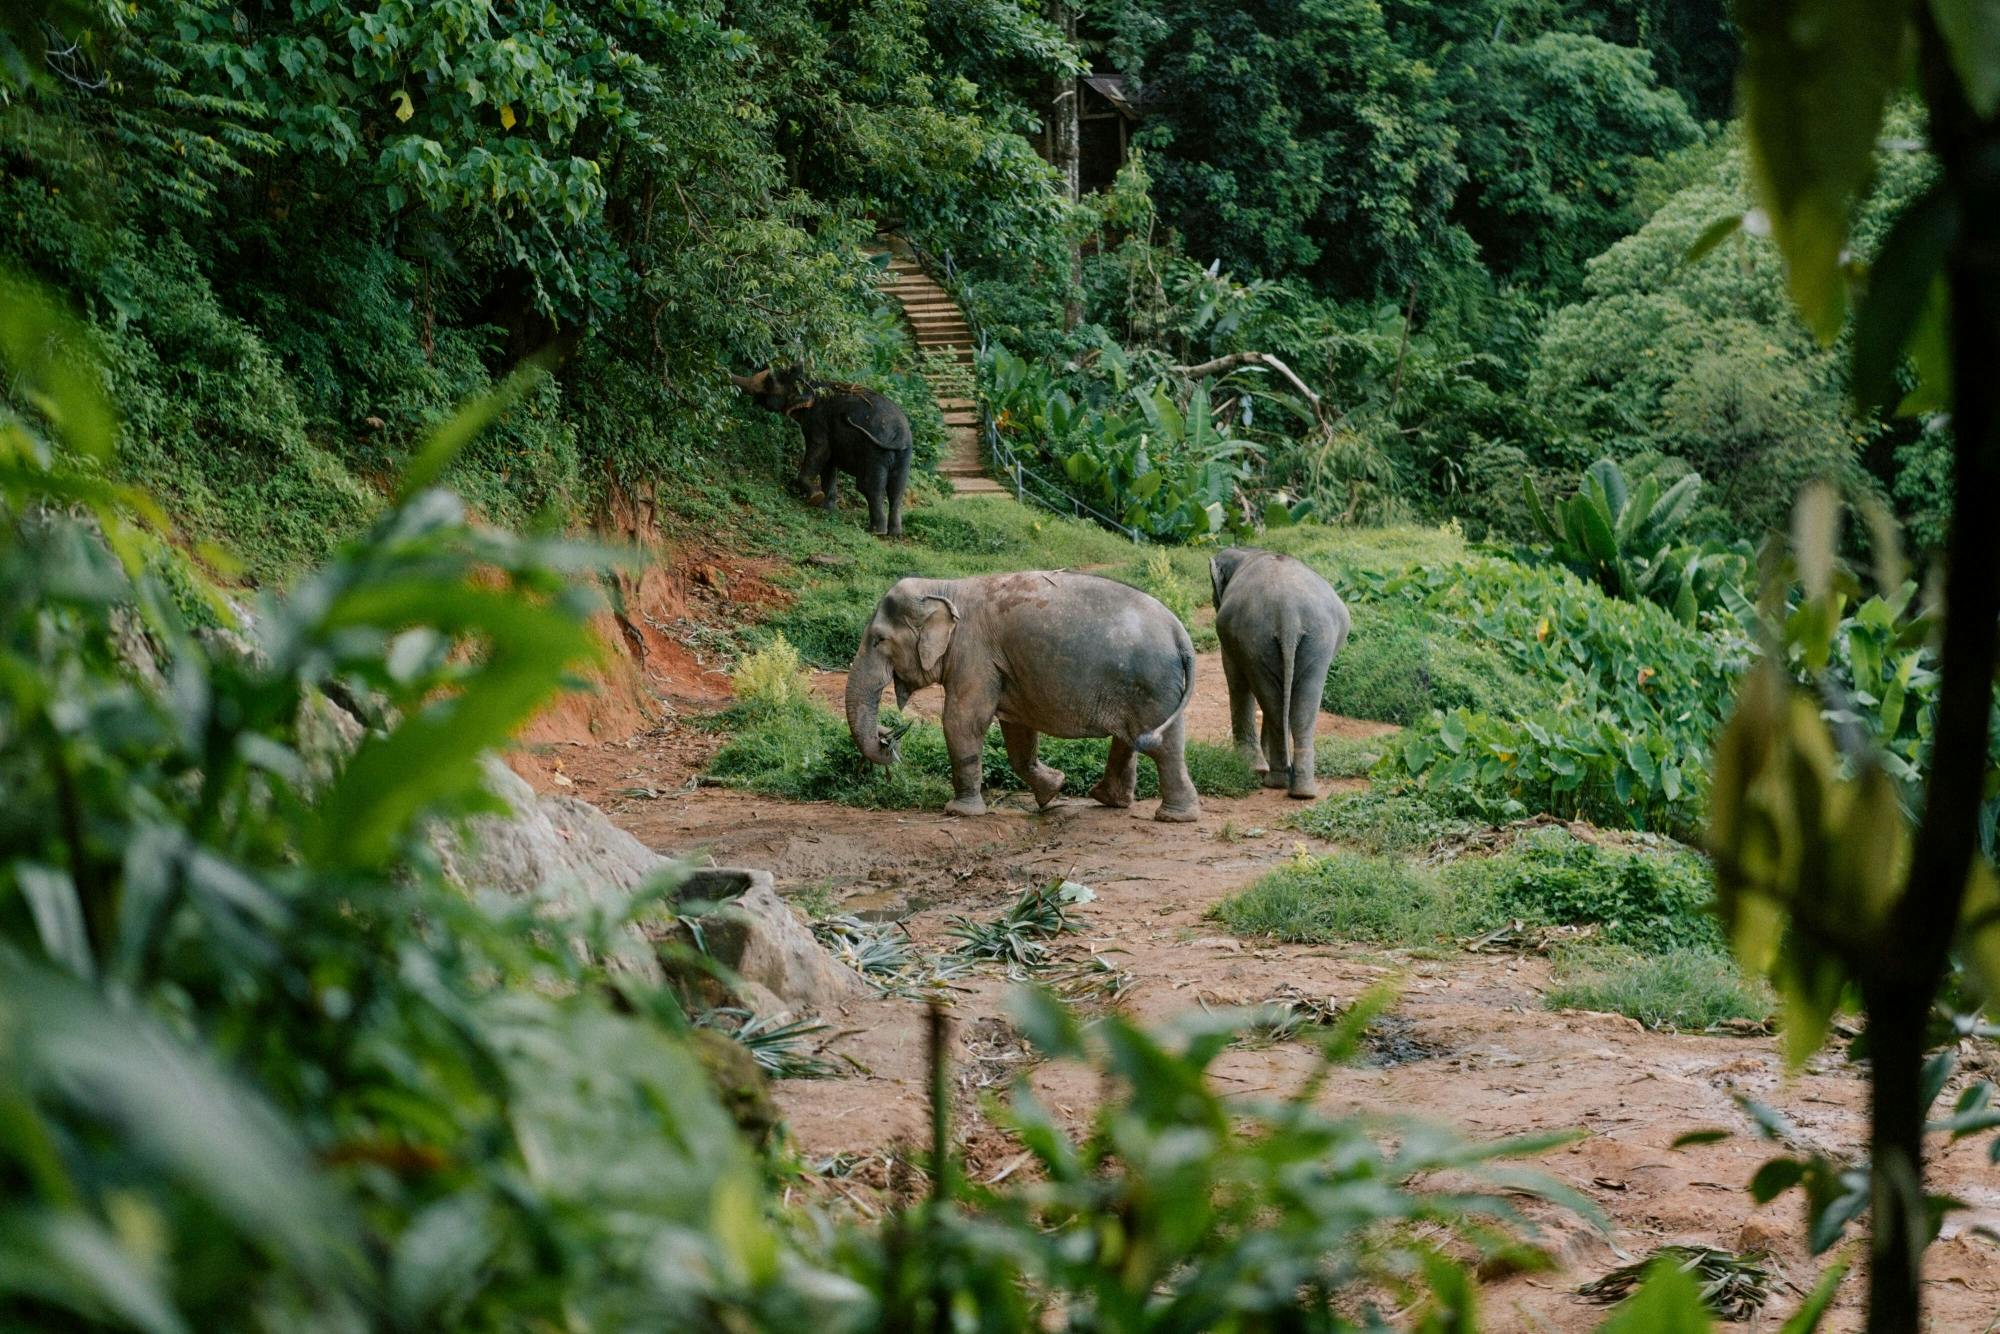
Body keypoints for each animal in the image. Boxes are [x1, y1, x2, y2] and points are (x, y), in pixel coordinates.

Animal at [731, 365, 913, 537]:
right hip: (904, 456)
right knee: (897, 490)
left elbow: (819, 451)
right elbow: (829, 464)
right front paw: (827, 508)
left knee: (869, 486)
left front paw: (815, 498)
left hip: (875, 451)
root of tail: (899, 435)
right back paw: (894, 534)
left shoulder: (818, 420)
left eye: (769, 380)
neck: (814, 381)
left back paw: (876, 532)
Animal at [845, 571, 1201, 822]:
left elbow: (963, 722)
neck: (946, 588)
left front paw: (959, 812)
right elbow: (1017, 732)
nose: (888, 737)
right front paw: (1052, 791)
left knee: (1161, 746)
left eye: (878, 640)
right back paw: (1108, 799)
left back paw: (1174, 817)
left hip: (1151, 684)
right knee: (1130, 739)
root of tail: (1179, 631)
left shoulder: (973, 654)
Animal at [1210, 547, 1351, 799]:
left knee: (1272, 700)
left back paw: (1276, 782)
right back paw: (1301, 790)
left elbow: (1235, 678)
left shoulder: (1229, 637)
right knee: (1299, 705)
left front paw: (1250, 767)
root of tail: (1288, 614)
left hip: (1257, 638)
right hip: (1315, 639)